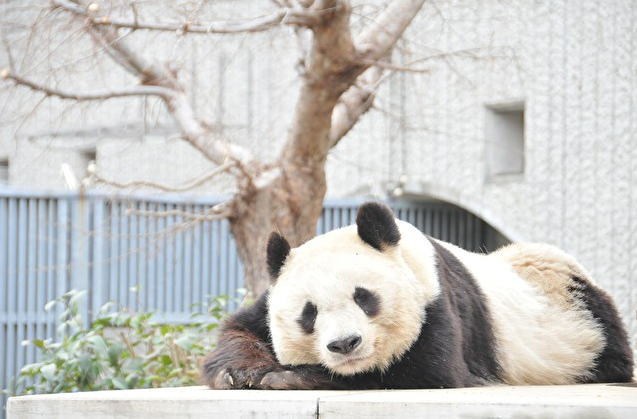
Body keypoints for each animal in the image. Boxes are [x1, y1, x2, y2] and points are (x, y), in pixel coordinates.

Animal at [202, 203, 632, 390]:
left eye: (365, 298)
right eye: (309, 314)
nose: (345, 344)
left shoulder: (437, 303)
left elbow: (422, 372)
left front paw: (286, 377)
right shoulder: (268, 299)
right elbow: (239, 330)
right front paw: (242, 372)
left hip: (581, 326)